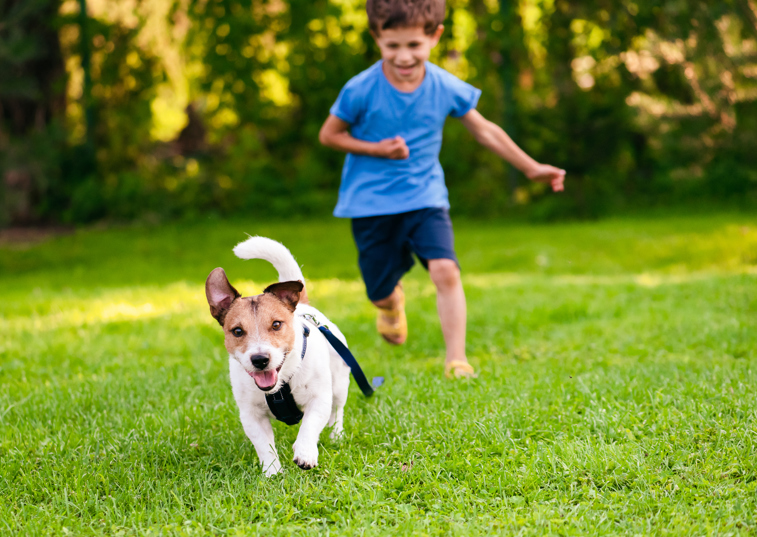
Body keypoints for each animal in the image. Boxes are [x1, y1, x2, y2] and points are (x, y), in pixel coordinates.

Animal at [204, 237, 352, 476]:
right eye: (237, 331)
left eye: (276, 324)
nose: (260, 359)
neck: (281, 384)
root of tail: (303, 306)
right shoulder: (250, 415)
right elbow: (264, 445)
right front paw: (272, 472)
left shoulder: (319, 399)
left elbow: (310, 425)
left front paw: (305, 453)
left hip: (339, 384)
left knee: (337, 411)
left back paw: (335, 435)